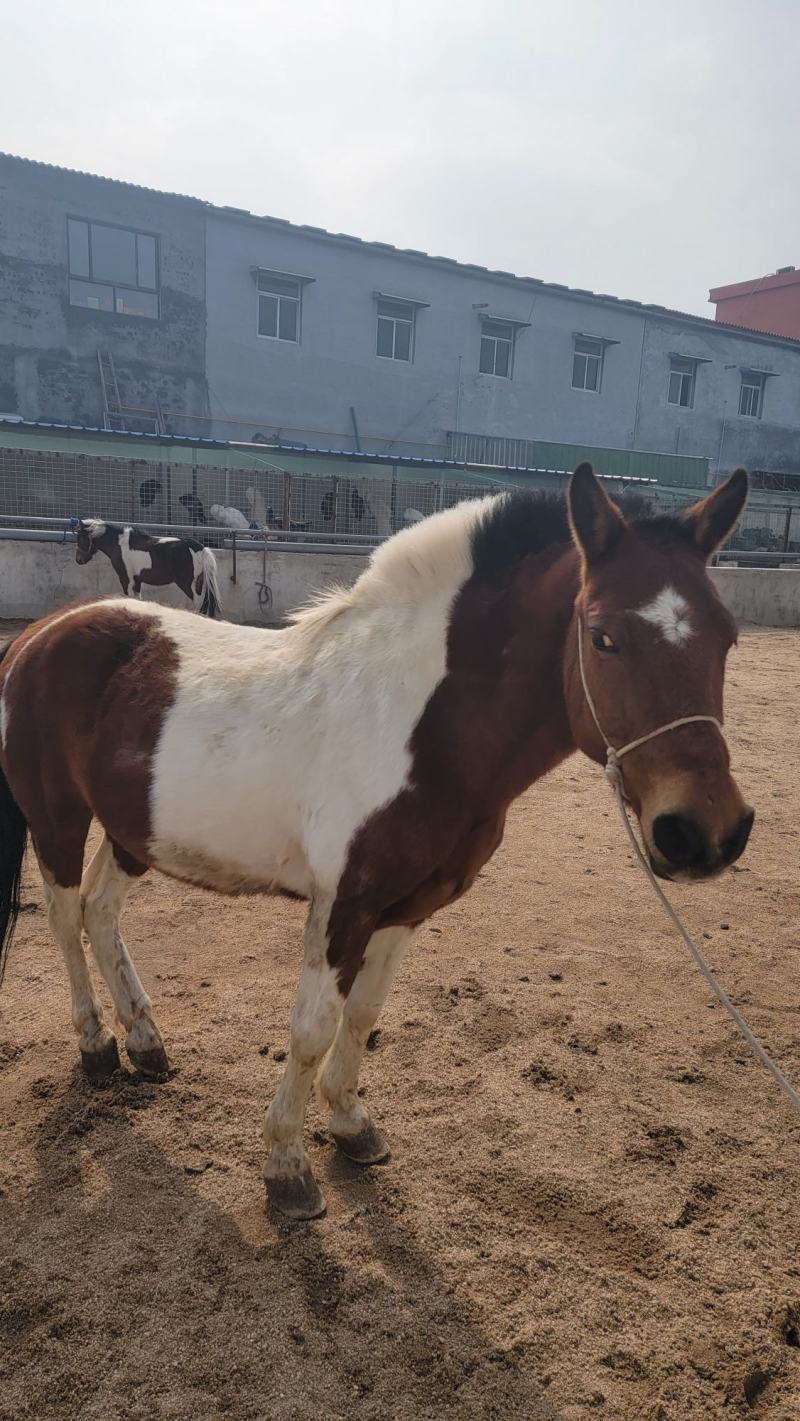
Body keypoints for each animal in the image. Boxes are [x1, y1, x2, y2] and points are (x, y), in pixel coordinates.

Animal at [74, 519, 222, 618]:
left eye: (80, 538)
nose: (78, 560)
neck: (119, 544)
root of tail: (200, 548)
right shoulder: (137, 580)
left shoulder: (125, 579)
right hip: (199, 583)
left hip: (186, 584)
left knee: (196, 603)